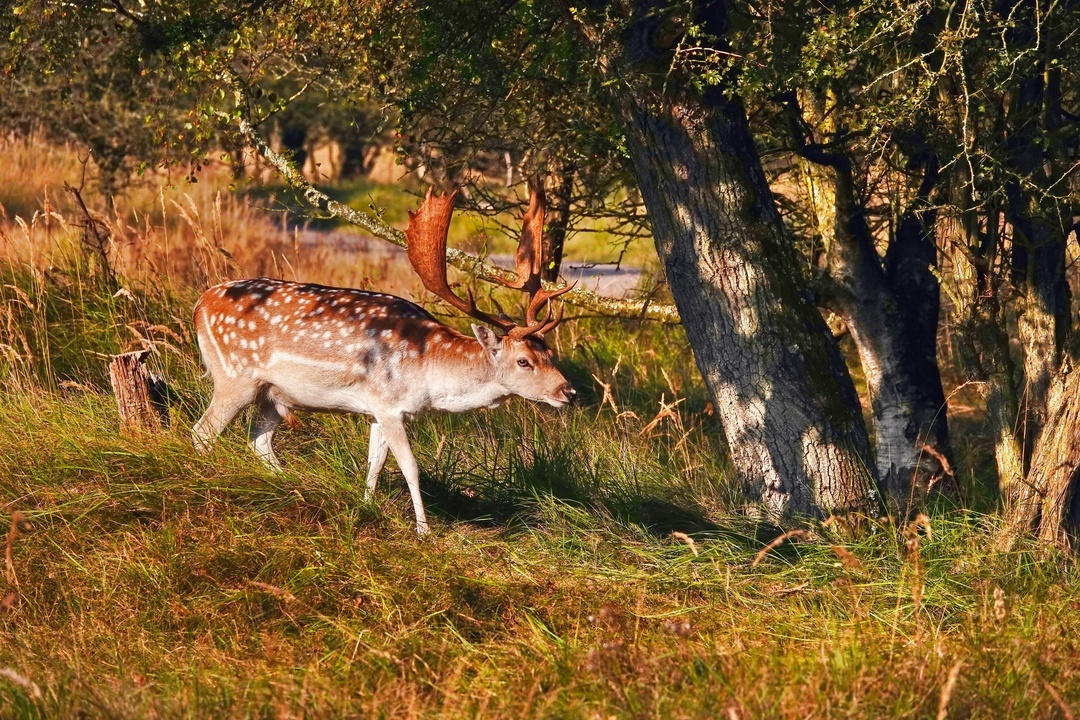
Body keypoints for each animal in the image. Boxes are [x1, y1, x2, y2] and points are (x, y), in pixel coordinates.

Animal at [194, 183, 583, 533]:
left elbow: (375, 464)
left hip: (272, 395)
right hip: (235, 376)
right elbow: (410, 466)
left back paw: (294, 487)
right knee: (202, 433)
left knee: (258, 442)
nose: (568, 391)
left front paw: (366, 507)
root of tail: (199, 306)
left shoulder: (375, 411)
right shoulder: (389, 405)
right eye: (523, 361)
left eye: (549, 352)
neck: (428, 377)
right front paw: (424, 532)